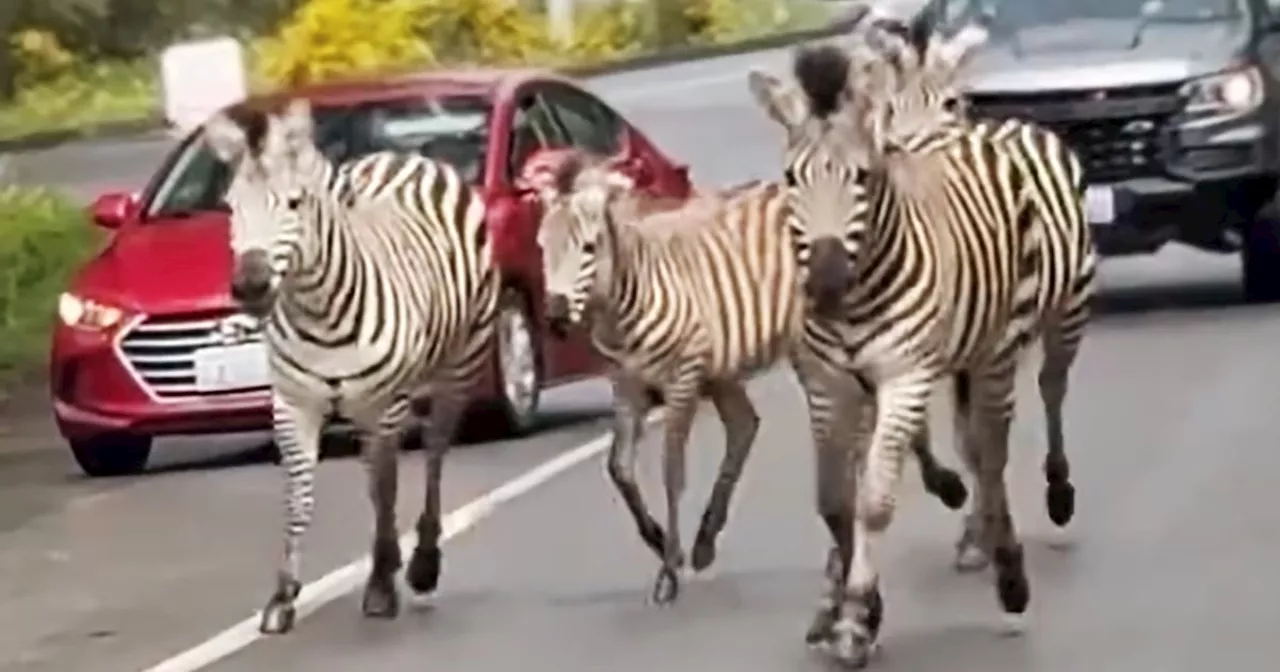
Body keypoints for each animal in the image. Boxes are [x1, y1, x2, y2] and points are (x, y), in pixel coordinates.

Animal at [202, 99, 496, 634]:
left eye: (294, 204)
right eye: (231, 206)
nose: (250, 286)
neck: (320, 311)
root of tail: (405, 156)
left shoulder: (385, 403)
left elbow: (386, 487)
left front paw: (380, 585)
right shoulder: (293, 404)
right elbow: (300, 497)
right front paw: (283, 596)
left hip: (457, 368)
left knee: (434, 455)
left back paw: (422, 563)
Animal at [532, 150, 798, 601]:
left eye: (588, 248)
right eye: (541, 247)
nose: (554, 316)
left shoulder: (683, 378)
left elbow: (672, 470)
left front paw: (669, 569)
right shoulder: (626, 383)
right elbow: (619, 468)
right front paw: (658, 541)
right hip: (724, 367)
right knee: (744, 425)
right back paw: (705, 542)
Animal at [747, 41, 1039, 665]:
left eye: (861, 177)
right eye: (790, 177)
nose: (826, 283)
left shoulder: (905, 377)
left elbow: (875, 502)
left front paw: (857, 617)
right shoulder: (827, 386)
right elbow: (836, 501)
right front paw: (853, 608)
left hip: (994, 353)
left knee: (990, 455)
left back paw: (1008, 574)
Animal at [855, 13, 1095, 563]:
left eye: (950, 104)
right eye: (889, 108)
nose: (901, 153)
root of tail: (1015, 123)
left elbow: (983, 440)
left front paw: (984, 527)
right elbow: (941, 437)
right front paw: (959, 505)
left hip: (1069, 309)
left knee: (1052, 386)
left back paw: (1059, 491)